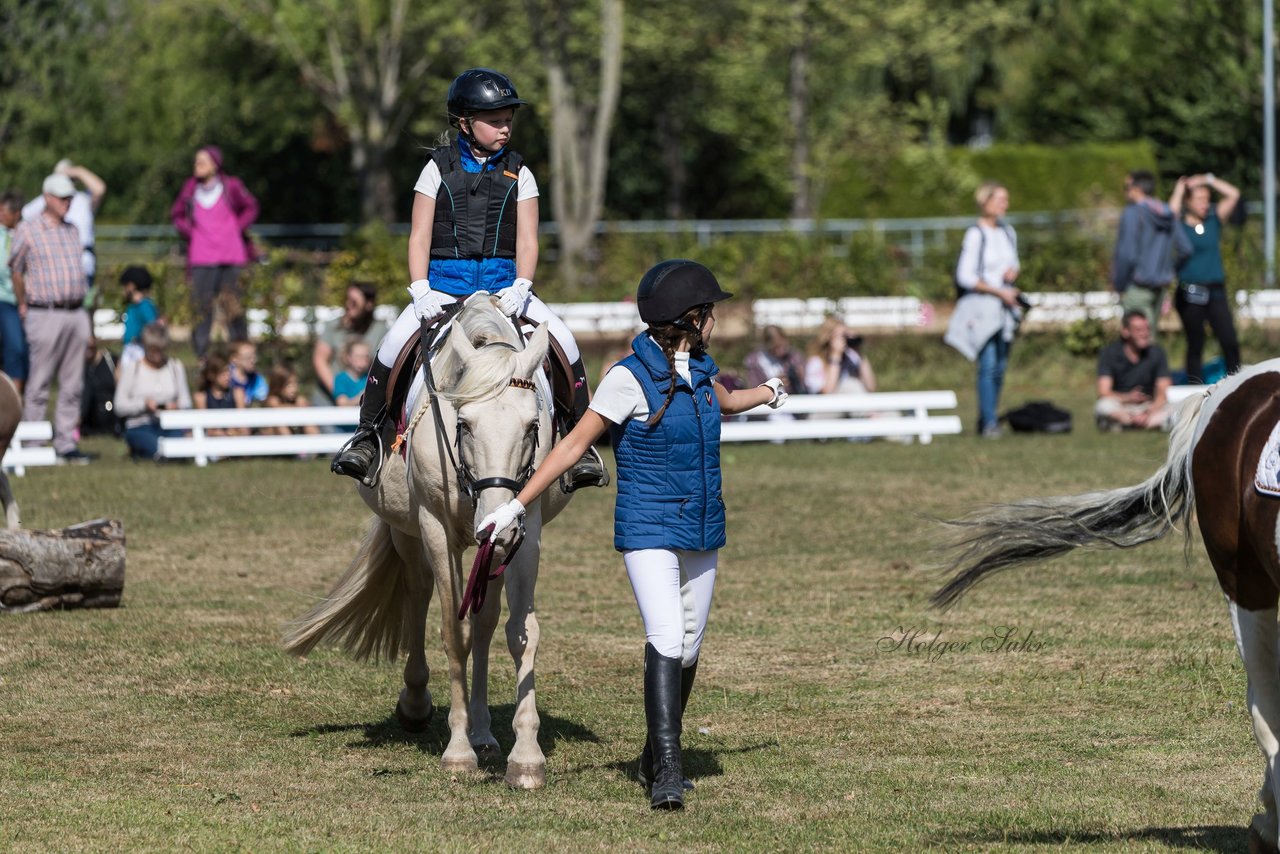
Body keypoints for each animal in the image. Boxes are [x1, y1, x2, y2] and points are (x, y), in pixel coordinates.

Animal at [290, 297, 576, 793]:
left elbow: (520, 634)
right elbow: (451, 632)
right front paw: (458, 753)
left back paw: (483, 733)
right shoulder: (436, 530)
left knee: (484, 621)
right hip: (409, 535)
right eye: (464, 424)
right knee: (419, 596)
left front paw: (525, 757)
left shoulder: (527, 534)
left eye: (532, 427)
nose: (495, 523)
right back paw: (418, 704)